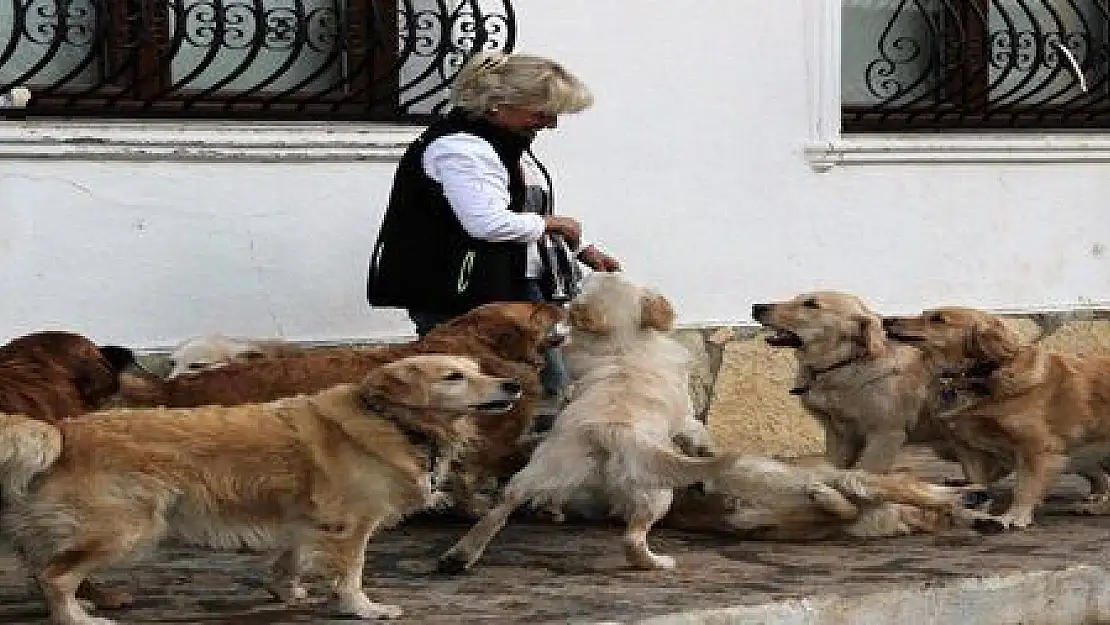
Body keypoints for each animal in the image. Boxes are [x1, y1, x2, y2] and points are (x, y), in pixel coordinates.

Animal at [0, 357, 521, 625]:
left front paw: (286, 590)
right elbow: (350, 574)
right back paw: (77, 617)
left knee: (44, 567)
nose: (512, 384)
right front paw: (362, 608)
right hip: (128, 528)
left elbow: (291, 556)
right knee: (55, 575)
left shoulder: (307, 518)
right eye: (453, 377)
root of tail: (64, 430)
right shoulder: (350, 526)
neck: (390, 418)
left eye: (477, 369)